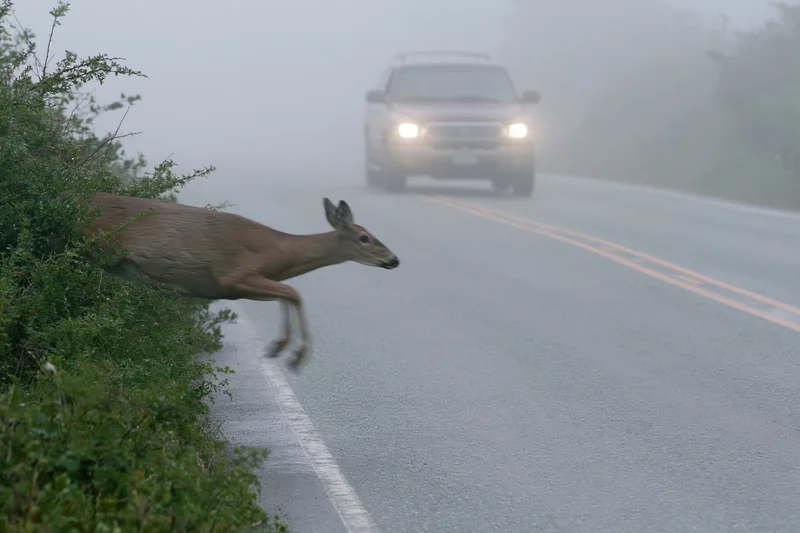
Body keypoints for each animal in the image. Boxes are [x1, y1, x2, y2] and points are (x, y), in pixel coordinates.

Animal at [83, 192, 400, 372]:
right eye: (364, 237)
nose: (394, 259)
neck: (281, 251)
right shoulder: (233, 275)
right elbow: (293, 292)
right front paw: (292, 354)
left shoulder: (240, 284)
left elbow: (286, 294)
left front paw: (279, 348)